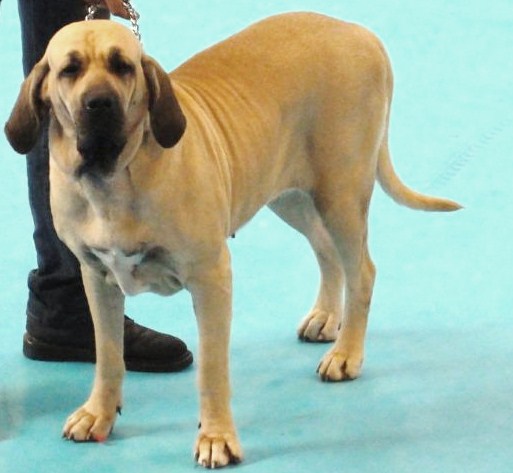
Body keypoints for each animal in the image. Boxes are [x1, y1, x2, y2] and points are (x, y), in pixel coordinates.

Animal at [5, 12, 460, 468]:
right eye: (69, 69)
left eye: (123, 67)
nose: (100, 103)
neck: (113, 178)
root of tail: (359, 32)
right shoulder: (97, 277)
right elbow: (108, 354)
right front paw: (98, 412)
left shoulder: (210, 278)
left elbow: (211, 368)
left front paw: (216, 437)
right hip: (290, 194)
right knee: (326, 249)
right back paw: (325, 317)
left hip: (340, 195)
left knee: (362, 271)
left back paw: (347, 353)